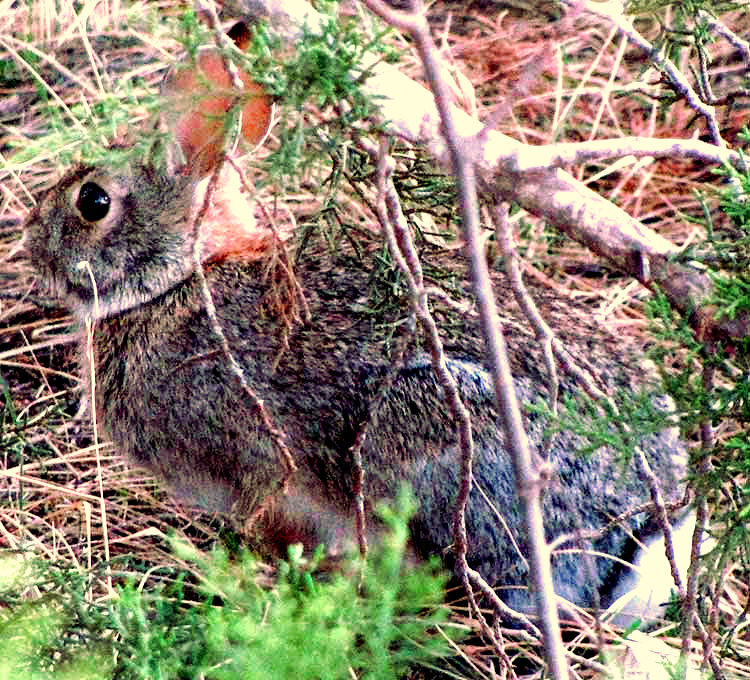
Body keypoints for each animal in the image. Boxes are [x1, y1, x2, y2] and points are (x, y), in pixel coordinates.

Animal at [23, 30, 688, 616]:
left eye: (93, 202)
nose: (30, 243)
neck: (181, 282)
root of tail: (646, 513)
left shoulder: (256, 466)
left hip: (432, 442)